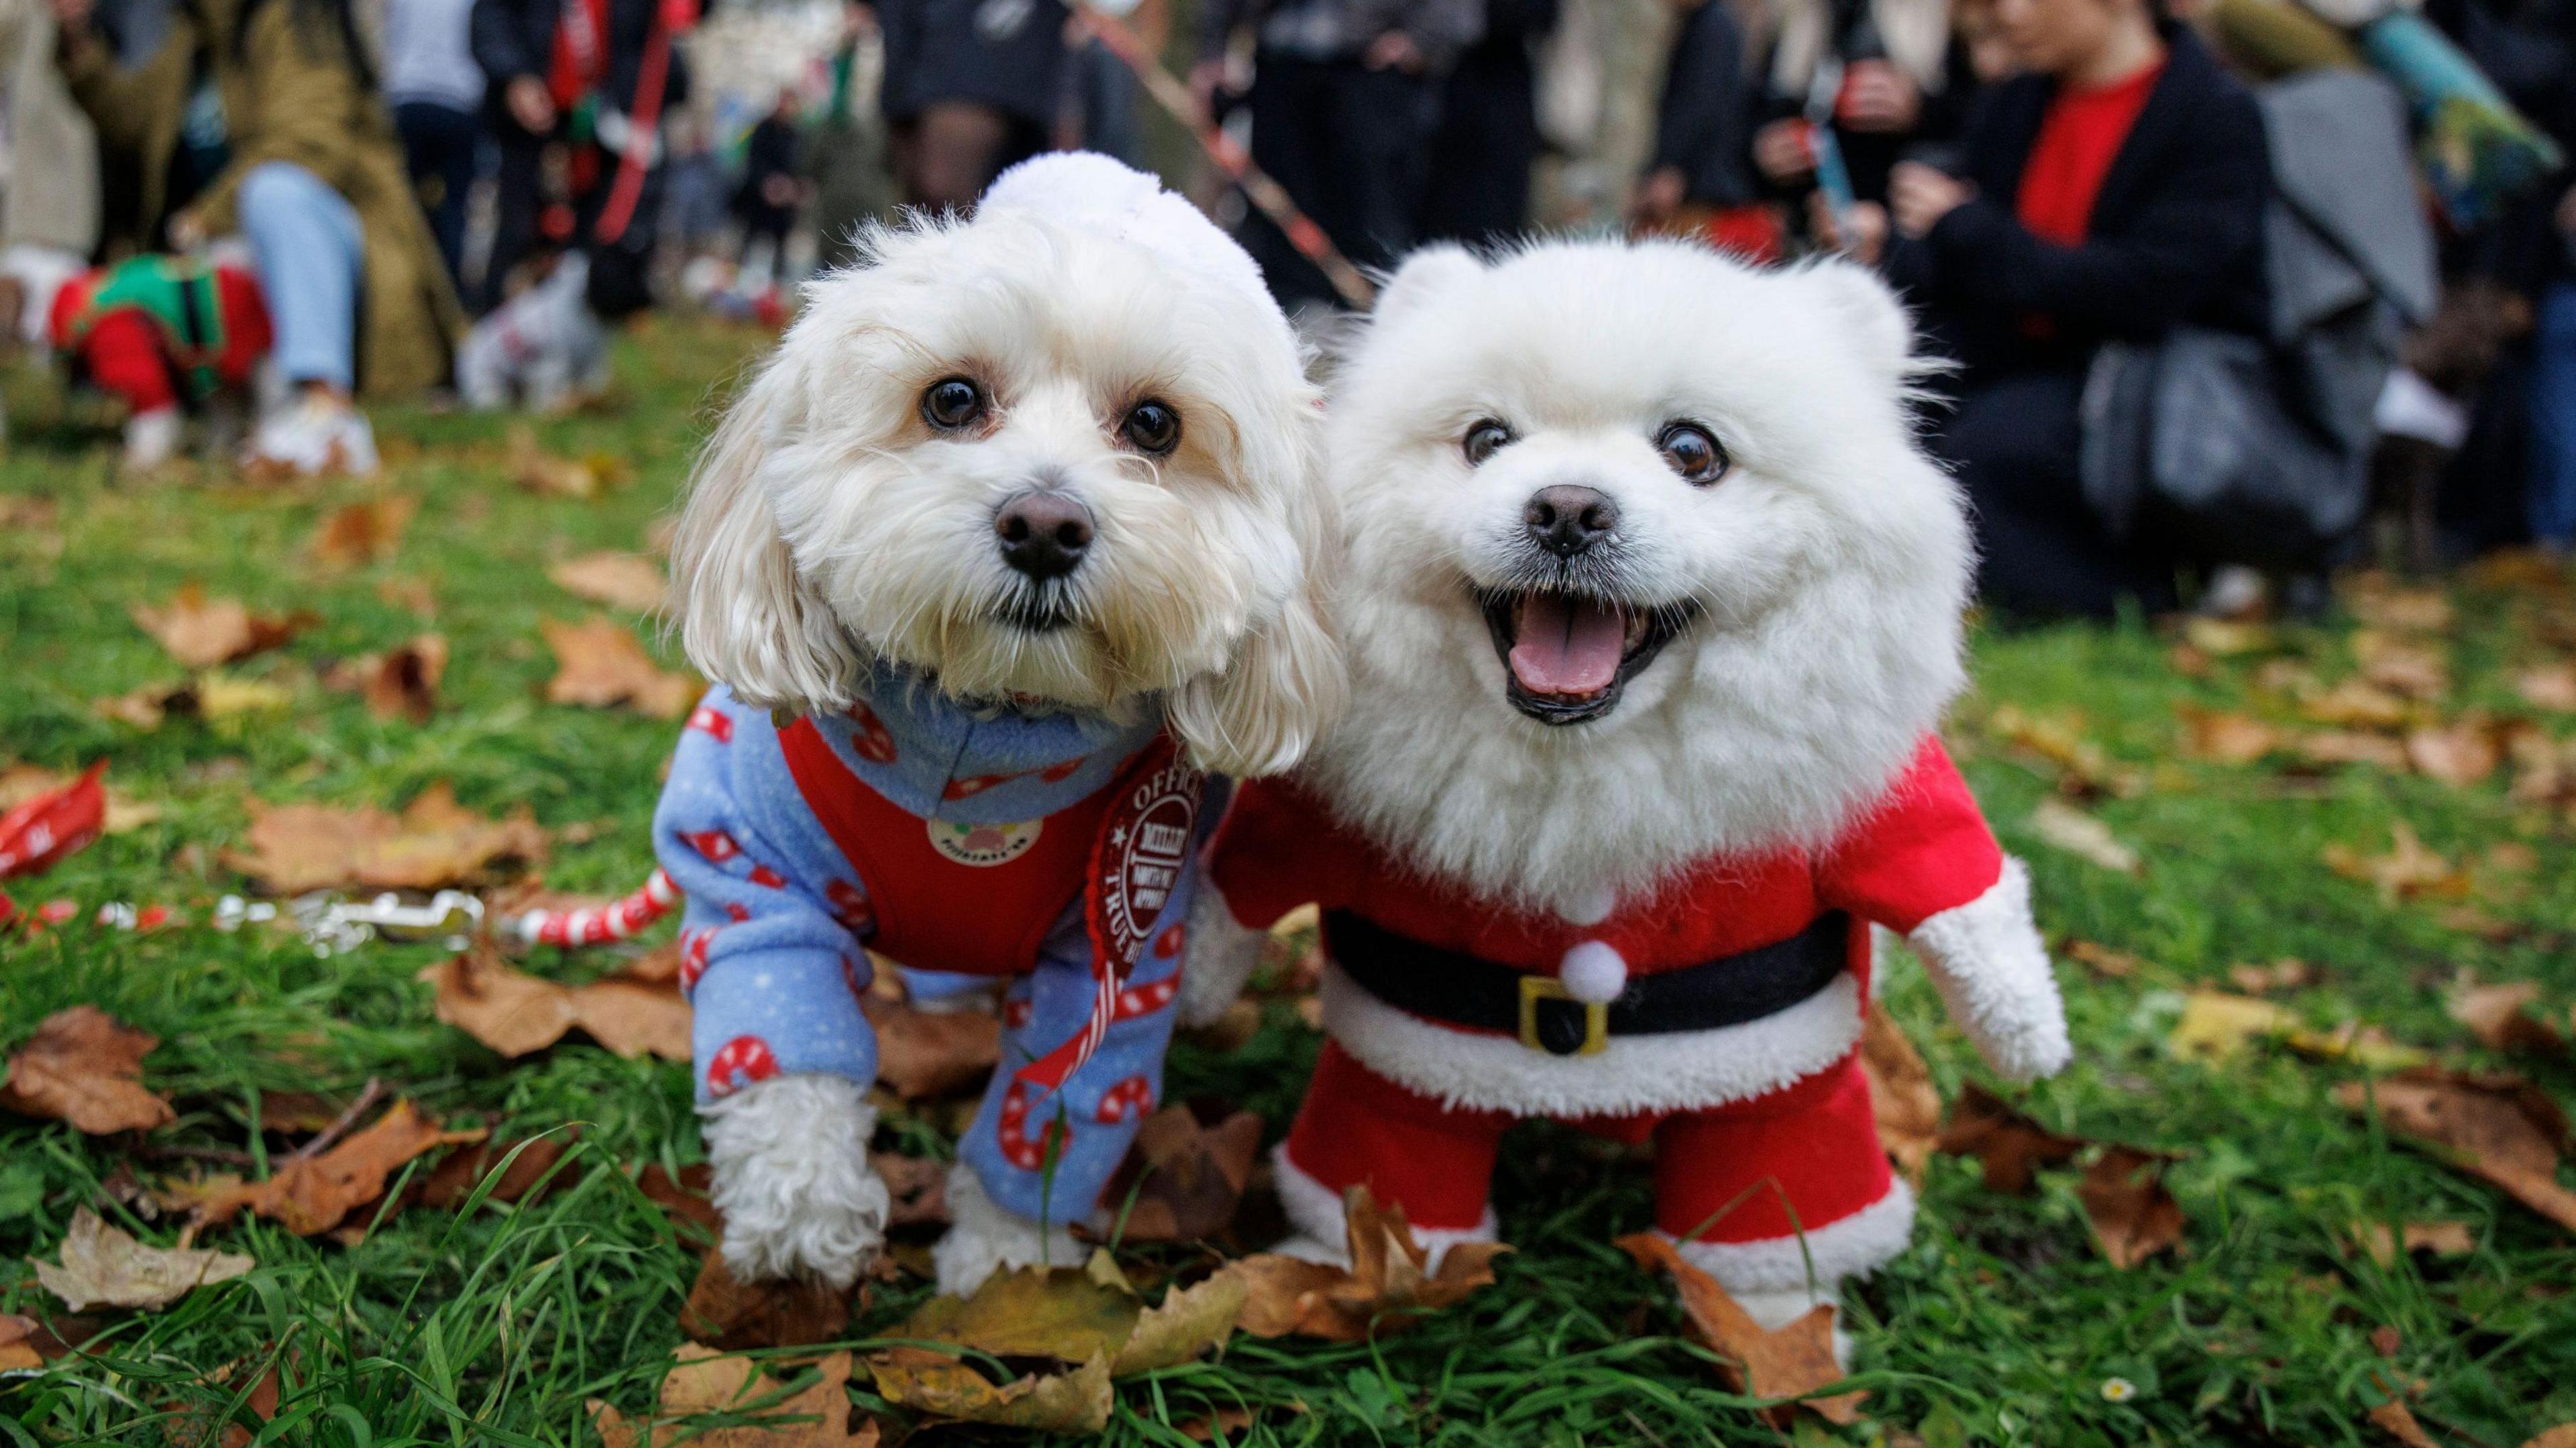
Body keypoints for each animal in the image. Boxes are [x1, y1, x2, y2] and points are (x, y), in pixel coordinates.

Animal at [654, 152, 1339, 1288]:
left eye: (1154, 424)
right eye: (953, 398)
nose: (1046, 525)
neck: (983, 750)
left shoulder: (1122, 957)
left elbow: (1054, 1108)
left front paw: (1002, 1267)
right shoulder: (749, 870)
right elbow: (785, 1047)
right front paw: (802, 1222)